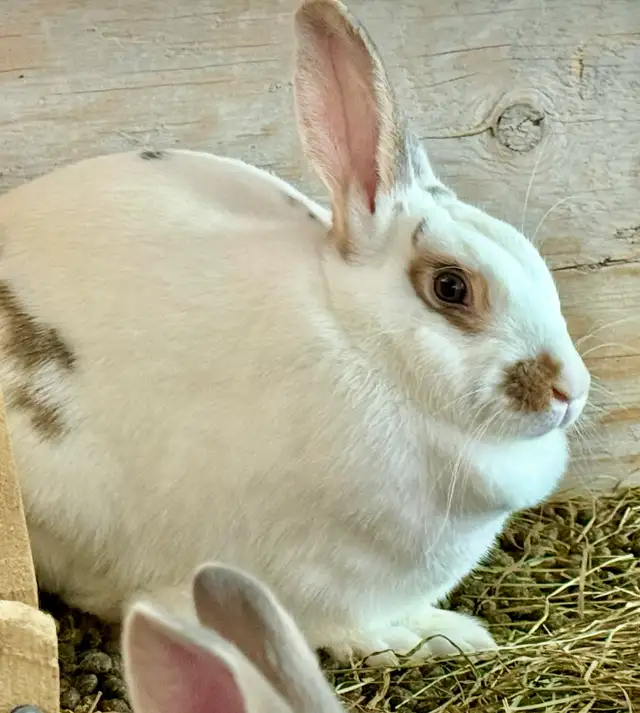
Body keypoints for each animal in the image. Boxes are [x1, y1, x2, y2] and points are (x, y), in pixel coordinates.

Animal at [0, 0, 590, 667]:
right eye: (451, 287)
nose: (570, 391)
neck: (362, 346)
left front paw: (448, 632)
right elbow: (338, 628)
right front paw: (418, 639)